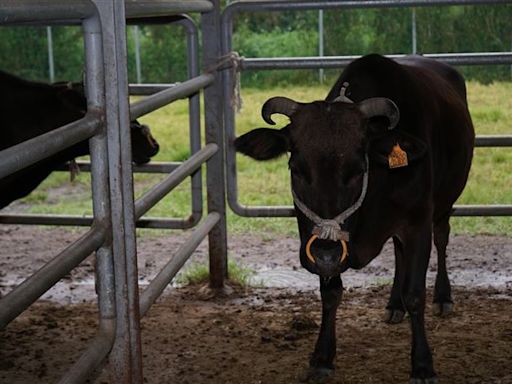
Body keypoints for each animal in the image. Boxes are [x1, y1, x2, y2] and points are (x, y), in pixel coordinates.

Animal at [236, 54, 476, 384]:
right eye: (296, 169)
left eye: (358, 169)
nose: (326, 255)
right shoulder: (315, 240)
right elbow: (330, 293)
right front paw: (322, 357)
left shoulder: (417, 223)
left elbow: (416, 294)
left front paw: (423, 365)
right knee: (398, 255)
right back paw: (393, 304)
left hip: (445, 204)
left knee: (442, 239)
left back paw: (443, 296)